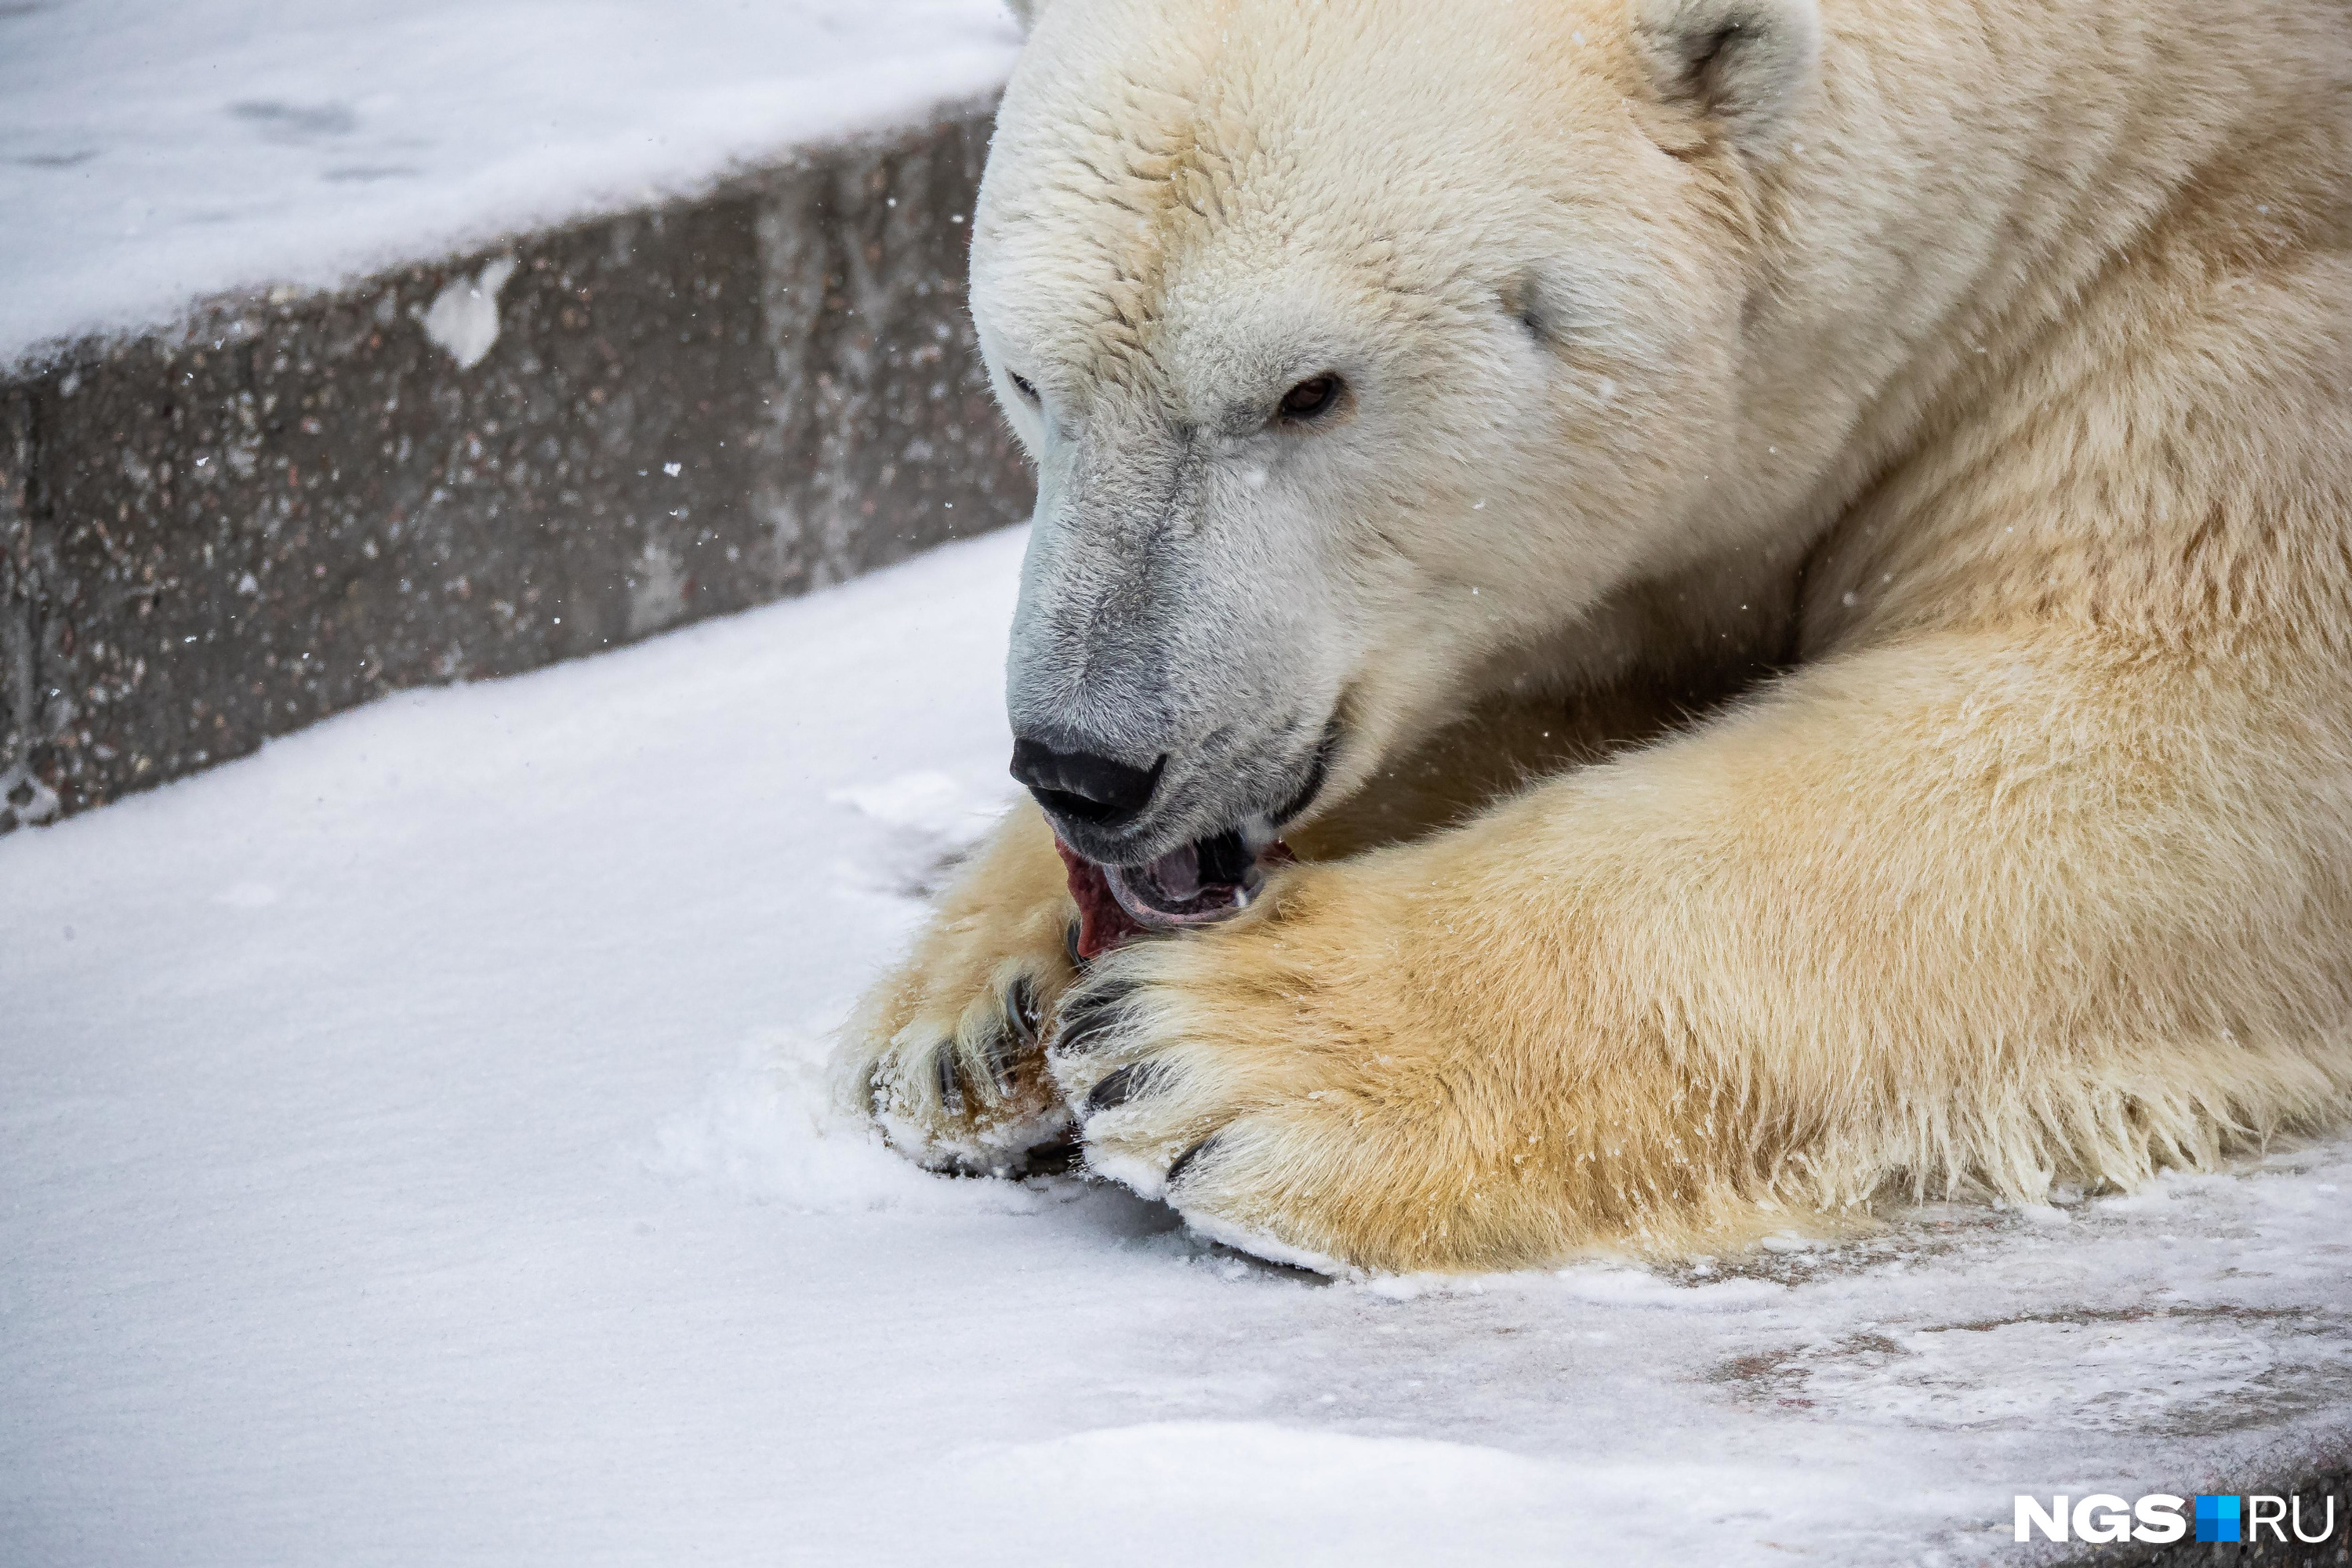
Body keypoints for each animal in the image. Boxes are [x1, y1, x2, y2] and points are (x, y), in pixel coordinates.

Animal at [837, 0, 2352, 1279]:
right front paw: (979, 1012)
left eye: (1309, 392)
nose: (1087, 765)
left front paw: (1213, 1047)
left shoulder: (2236, 295)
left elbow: (2173, 721)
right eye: (1029, 379)